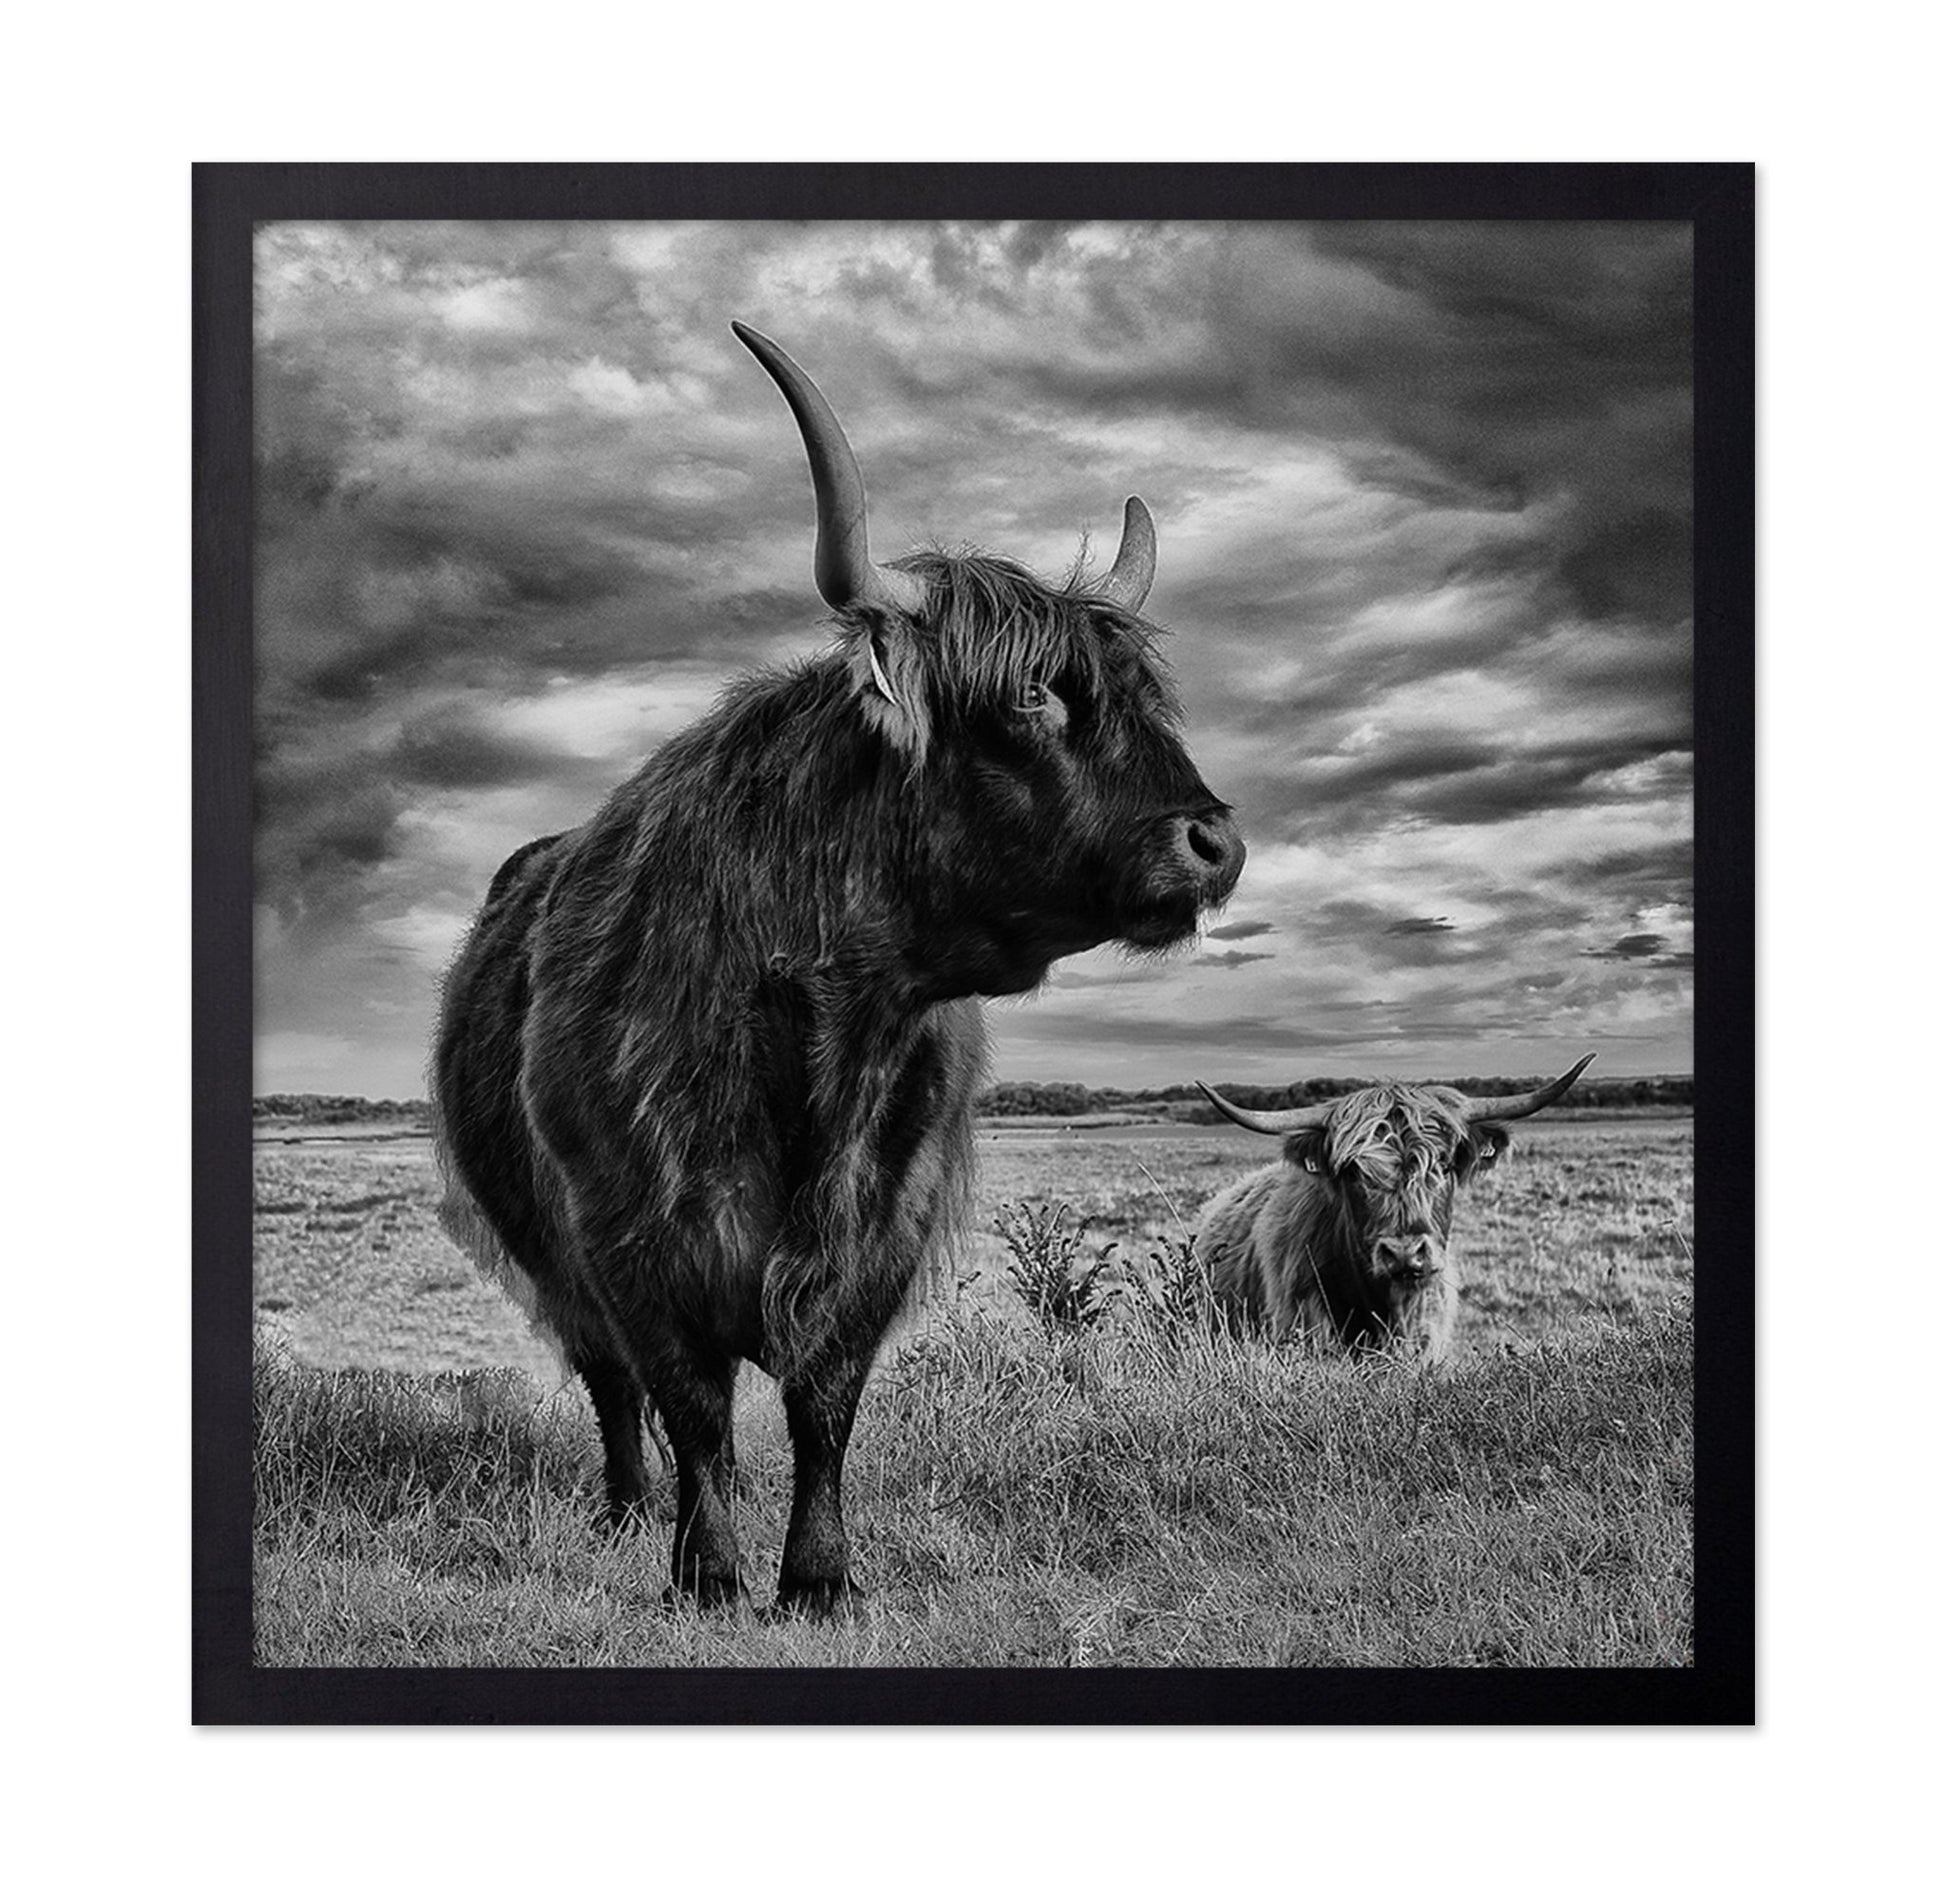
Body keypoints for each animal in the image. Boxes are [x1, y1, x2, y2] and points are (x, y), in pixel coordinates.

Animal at [432, 322, 1245, 1616]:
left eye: (1140, 699)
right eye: (1030, 693)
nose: (1214, 840)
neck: (825, 1034)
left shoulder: (886, 1231)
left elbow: (822, 1405)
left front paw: (817, 1577)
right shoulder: (629, 1234)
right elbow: (689, 1402)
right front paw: (708, 1575)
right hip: (546, 1249)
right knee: (611, 1384)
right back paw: (625, 1513)